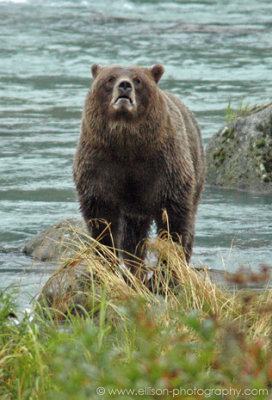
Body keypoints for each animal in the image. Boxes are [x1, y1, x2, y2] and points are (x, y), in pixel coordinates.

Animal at [73, 64, 205, 268]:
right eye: (110, 78)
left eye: (138, 80)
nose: (124, 85)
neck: (127, 143)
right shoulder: (99, 165)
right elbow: (102, 219)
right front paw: (105, 257)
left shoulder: (165, 168)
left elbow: (174, 221)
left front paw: (167, 269)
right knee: (132, 236)